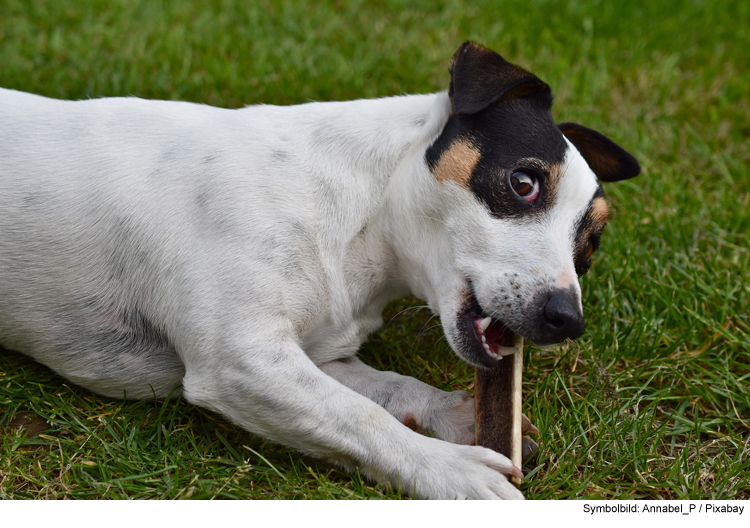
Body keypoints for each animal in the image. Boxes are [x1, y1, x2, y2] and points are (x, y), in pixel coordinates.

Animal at [0, 42, 640, 500]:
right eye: (524, 182)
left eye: (591, 246)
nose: (567, 319)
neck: (358, 217)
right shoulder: (241, 361)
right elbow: (361, 419)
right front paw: (453, 470)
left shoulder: (319, 357)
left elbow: (389, 390)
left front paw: (456, 415)